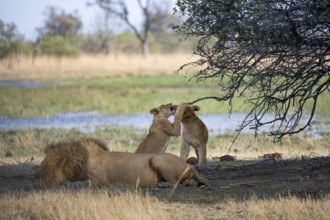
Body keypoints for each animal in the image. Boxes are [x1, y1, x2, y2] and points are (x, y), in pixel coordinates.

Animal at [34, 138, 209, 187]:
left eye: (45, 164)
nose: (35, 176)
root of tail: (189, 165)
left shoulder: (99, 180)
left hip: (157, 158)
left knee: (177, 183)